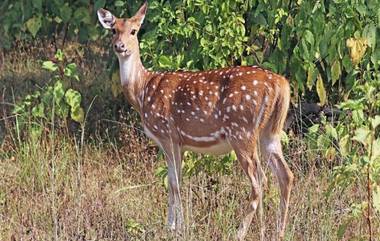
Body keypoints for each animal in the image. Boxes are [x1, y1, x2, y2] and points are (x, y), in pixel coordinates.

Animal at [97, 1, 294, 239]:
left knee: (260, 180)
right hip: (270, 132)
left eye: (134, 31)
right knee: (286, 175)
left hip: (241, 130)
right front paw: (170, 226)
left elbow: (175, 184)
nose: (120, 46)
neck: (142, 91)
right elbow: (173, 181)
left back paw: (239, 232)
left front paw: (178, 228)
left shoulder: (167, 134)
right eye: (113, 30)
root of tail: (281, 83)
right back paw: (277, 232)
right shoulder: (178, 143)